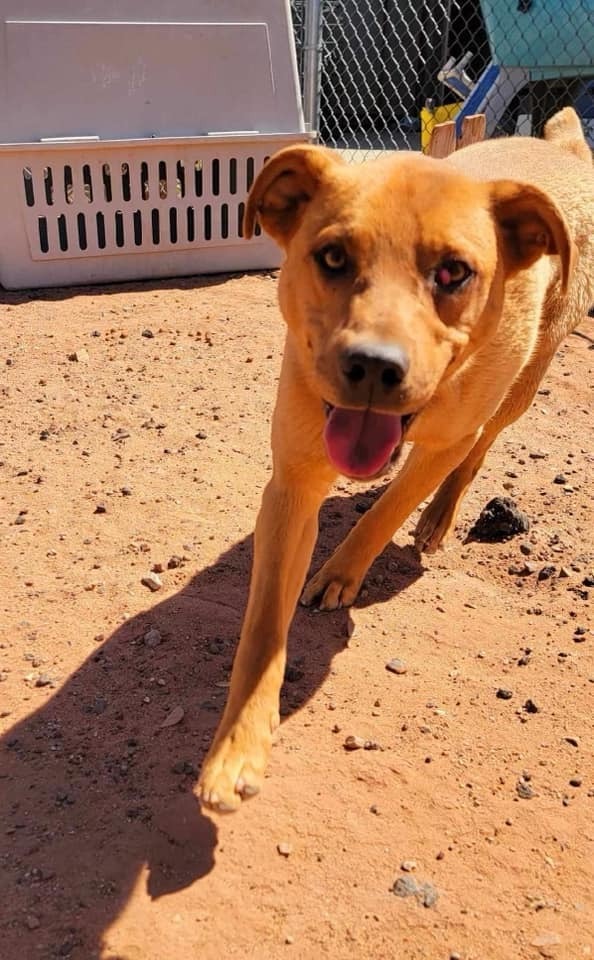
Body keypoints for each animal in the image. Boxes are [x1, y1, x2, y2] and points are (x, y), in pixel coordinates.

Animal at [198, 107, 592, 808]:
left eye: (454, 272)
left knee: (481, 445)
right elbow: (264, 624)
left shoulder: (441, 441)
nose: (375, 367)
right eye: (332, 256)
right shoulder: (293, 481)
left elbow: (386, 511)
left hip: (523, 383)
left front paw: (341, 572)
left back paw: (439, 518)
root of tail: (566, 150)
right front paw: (237, 744)